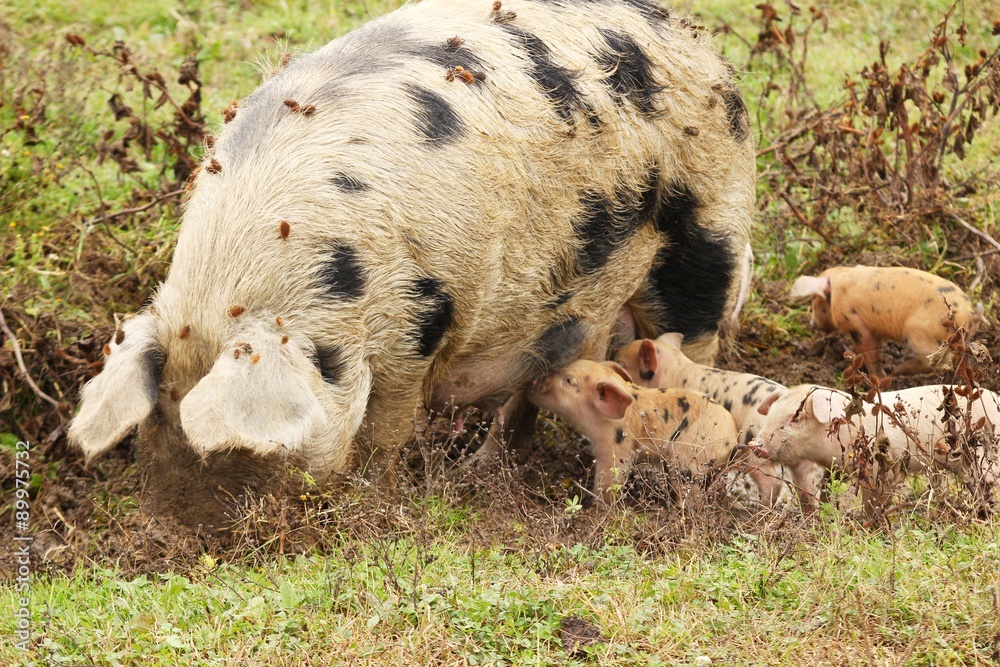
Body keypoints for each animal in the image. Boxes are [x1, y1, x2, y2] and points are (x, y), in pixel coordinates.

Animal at [526, 359, 743, 502]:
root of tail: (732, 441)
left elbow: (610, 478)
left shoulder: (615, 445)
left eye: (569, 381)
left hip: (688, 461)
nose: (531, 382)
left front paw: (597, 507)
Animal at [614, 333, 824, 511]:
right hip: (802, 456)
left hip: (755, 450)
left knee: (773, 483)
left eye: (622, 364)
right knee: (807, 485)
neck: (675, 368)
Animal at [751, 384, 1000, 514]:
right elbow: (826, 488)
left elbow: (876, 501)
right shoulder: (838, 468)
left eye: (796, 417)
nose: (755, 445)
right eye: (772, 413)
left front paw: (869, 524)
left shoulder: (881, 467)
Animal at [790, 266, 989, 376]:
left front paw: (880, 376)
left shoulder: (856, 323)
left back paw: (898, 370)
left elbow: (870, 352)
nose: (812, 324)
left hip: (920, 334)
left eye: (814, 299)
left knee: (930, 361)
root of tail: (971, 313)